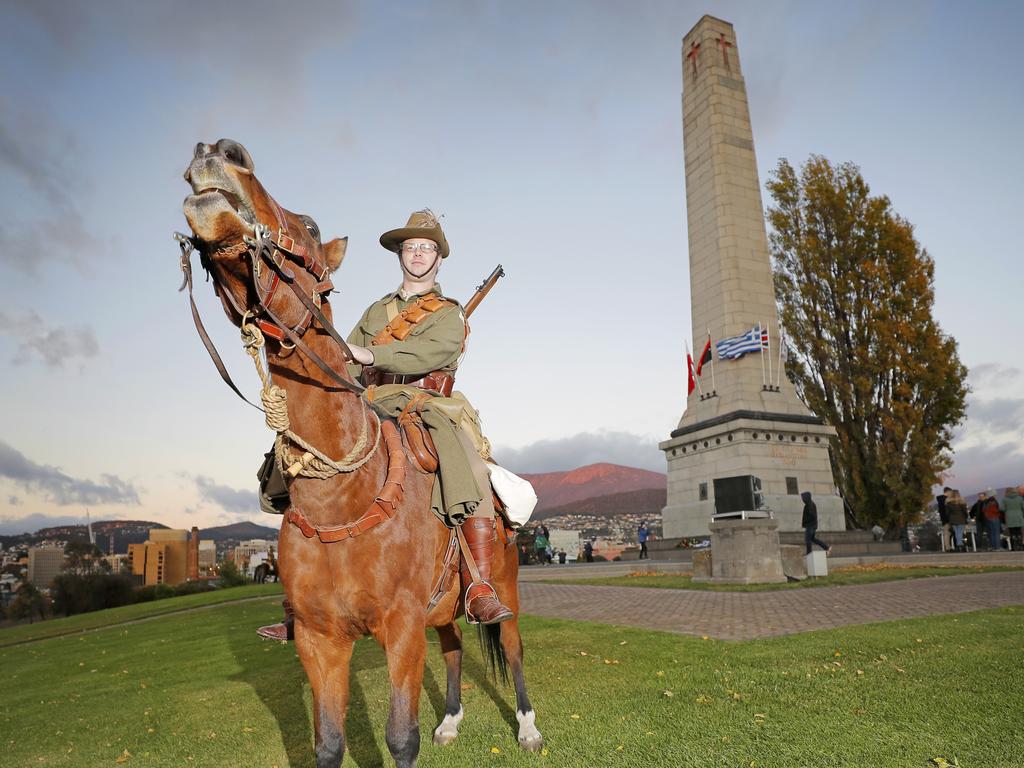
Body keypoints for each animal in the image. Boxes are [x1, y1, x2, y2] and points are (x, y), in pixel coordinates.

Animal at [182, 140, 544, 768]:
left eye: (310, 225)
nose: (218, 154)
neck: (341, 496)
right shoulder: (321, 642)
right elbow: (328, 743)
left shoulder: (400, 628)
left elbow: (401, 737)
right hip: (439, 610)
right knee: (453, 646)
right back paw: (452, 720)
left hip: (506, 589)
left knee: (512, 645)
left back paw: (525, 727)